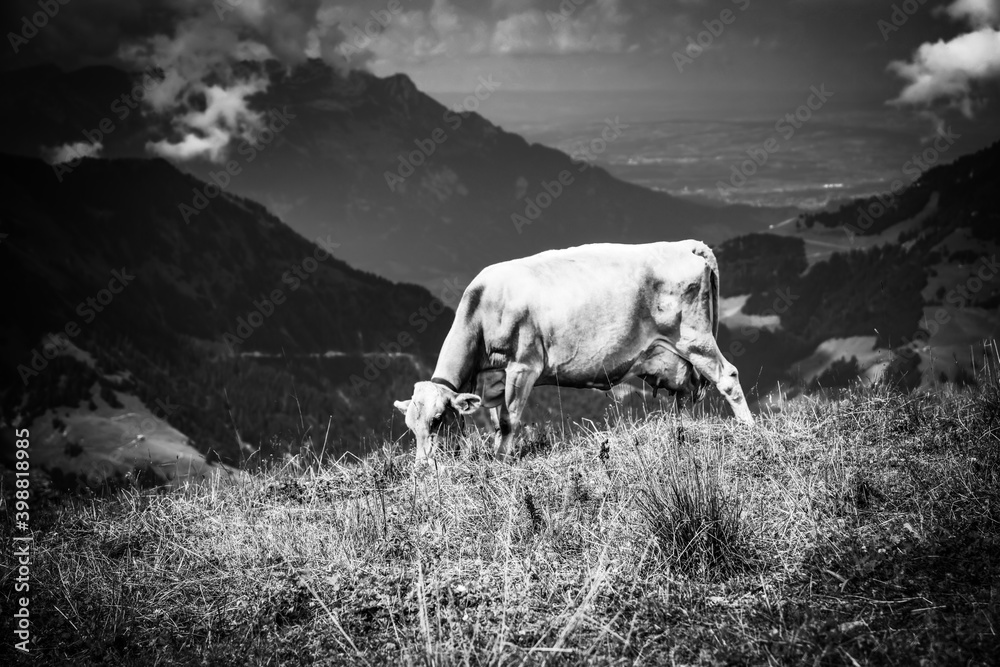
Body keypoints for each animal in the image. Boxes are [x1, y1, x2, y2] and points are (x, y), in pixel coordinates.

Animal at [394, 241, 754, 459]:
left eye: (437, 419)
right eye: (410, 426)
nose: (422, 468)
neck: (485, 306)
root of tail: (684, 245)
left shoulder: (524, 366)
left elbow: (510, 420)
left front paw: (500, 461)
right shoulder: (496, 377)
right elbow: (498, 421)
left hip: (695, 338)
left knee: (728, 376)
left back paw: (751, 431)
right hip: (679, 357)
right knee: (684, 395)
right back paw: (681, 436)